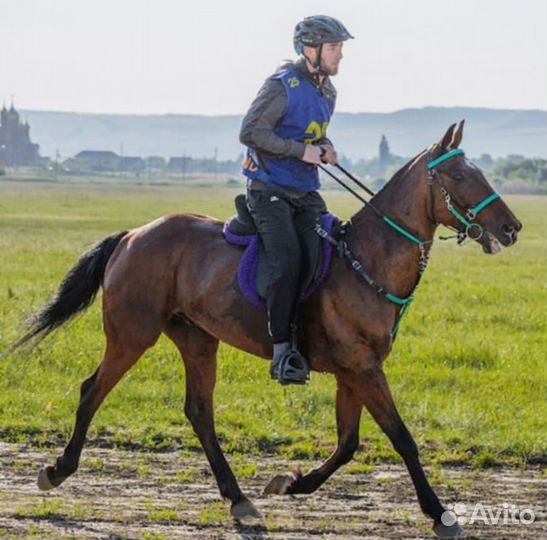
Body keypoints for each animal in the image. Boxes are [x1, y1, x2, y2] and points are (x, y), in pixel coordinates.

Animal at [16, 121, 524, 536]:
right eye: (459, 176)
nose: (512, 227)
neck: (366, 259)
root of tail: (133, 235)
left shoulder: (353, 372)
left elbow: (348, 443)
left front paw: (291, 484)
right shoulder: (363, 369)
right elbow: (401, 438)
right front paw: (439, 514)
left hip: (197, 339)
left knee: (199, 411)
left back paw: (238, 499)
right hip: (132, 334)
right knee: (92, 391)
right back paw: (57, 471)